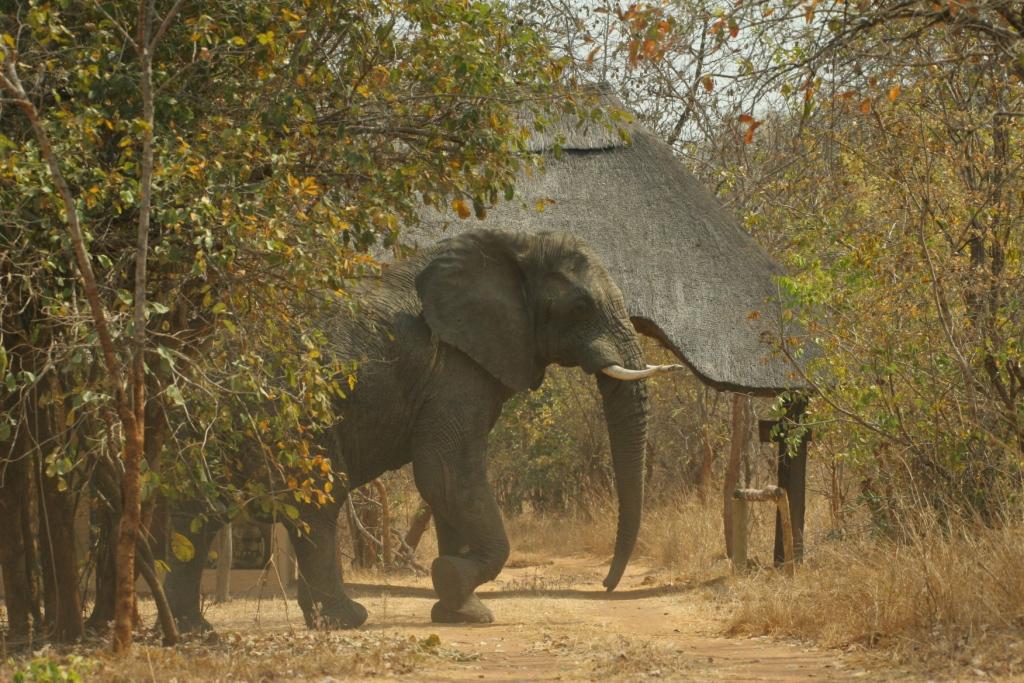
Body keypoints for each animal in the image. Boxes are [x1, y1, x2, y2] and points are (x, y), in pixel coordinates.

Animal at [163, 229, 681, 631]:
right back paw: (347, 620)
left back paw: (194, 633)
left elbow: (450, 484)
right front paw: (452, 579)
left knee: (198, 508)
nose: (606, 585)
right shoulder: (454, 364)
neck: (515, 244)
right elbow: (447, 470)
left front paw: (461, 613)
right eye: (580, 305)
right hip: (289, 410)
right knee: (318, 498)